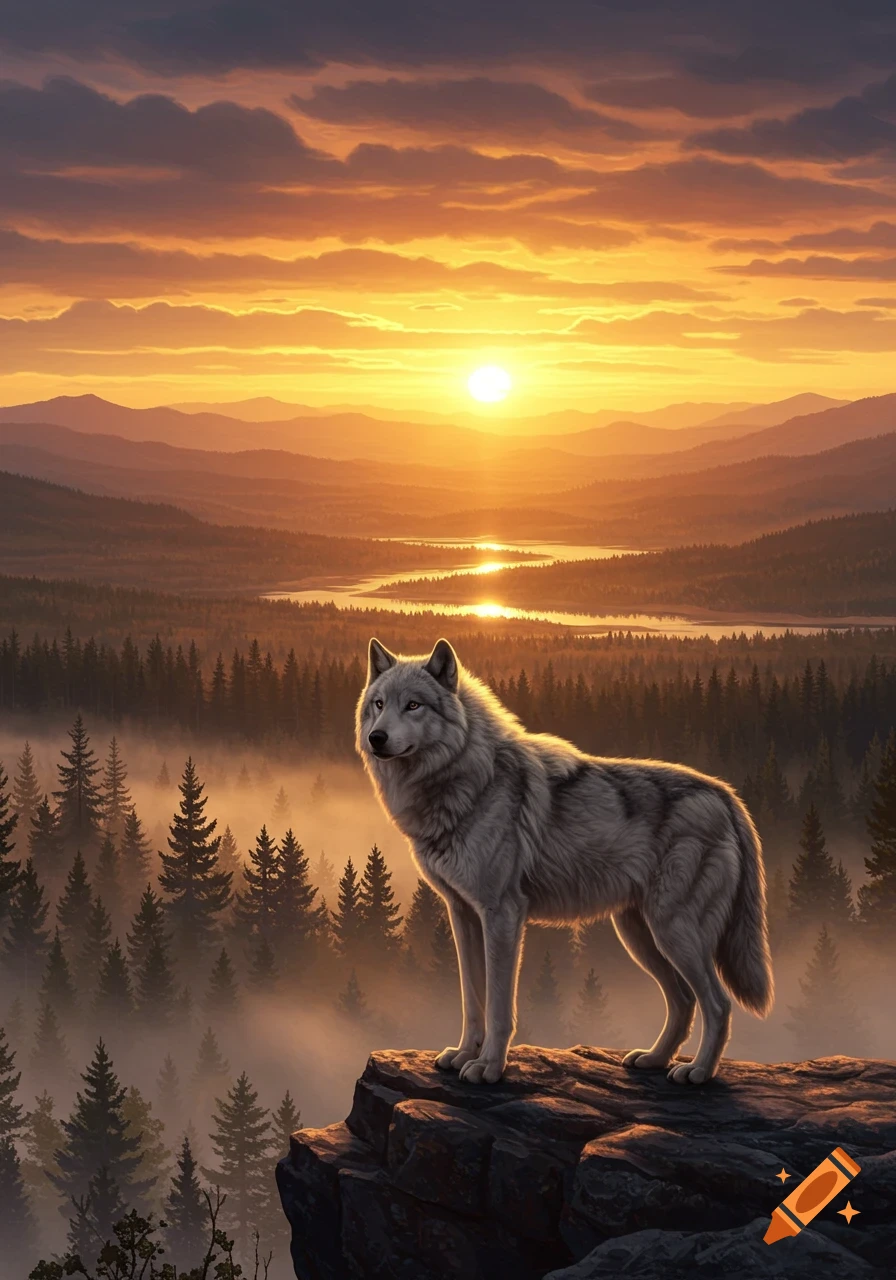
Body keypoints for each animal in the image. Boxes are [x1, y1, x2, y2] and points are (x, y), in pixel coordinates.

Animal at [357, 637, 773, 1086]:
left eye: (413, 705)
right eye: (379, 704)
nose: (377, 737)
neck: (471, 780)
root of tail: (725, 793)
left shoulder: (503, 915)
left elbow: (499, 1006)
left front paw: (488, 1067)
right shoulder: (462, 914)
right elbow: (472, 1002)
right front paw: (464, 1054)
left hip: (673, 932)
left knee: (717, 1003)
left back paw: (698, 1072)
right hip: (640, 935)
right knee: (682, 1002)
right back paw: (654, 1059)